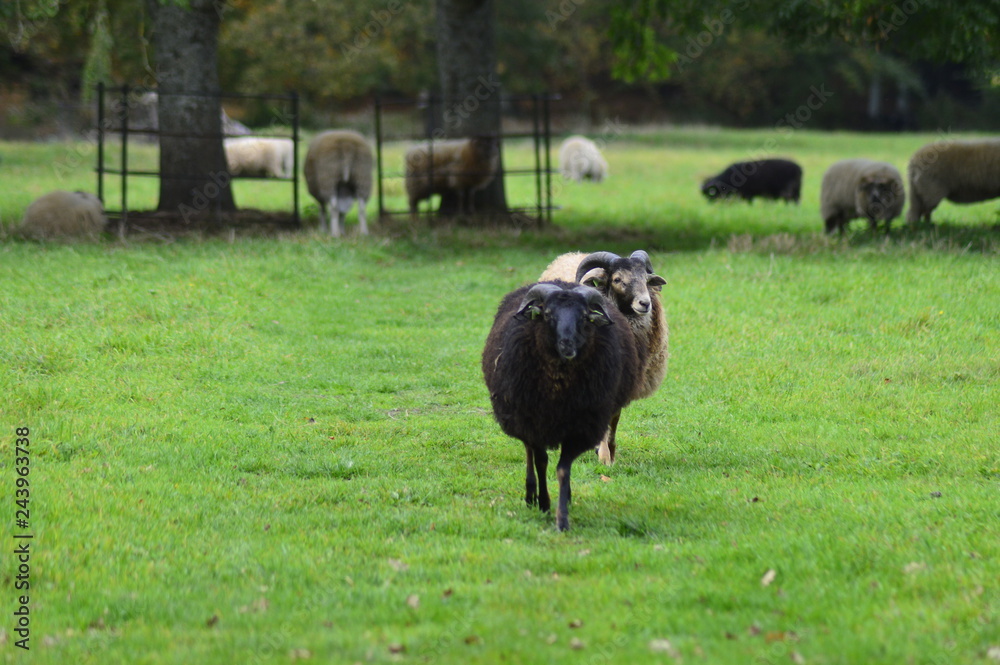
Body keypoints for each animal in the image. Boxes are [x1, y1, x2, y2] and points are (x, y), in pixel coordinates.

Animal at [482, 281, 642, 531]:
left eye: (584, 316)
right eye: (548, 314)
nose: (567, 346)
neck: (558, 387)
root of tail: (562, 281)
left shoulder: (580, 427)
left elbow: (563, 470)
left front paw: (562, 516)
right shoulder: (533, 422)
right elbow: (541, 462)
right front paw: (544, 504)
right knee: (529, 453)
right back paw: (530, 496)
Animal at [539, 250, 668, 466]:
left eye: (646, 278)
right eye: (617, 279)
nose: (645, 303)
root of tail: (568, 255)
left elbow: (614, 419)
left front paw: (610, 452)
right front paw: (604, 456)